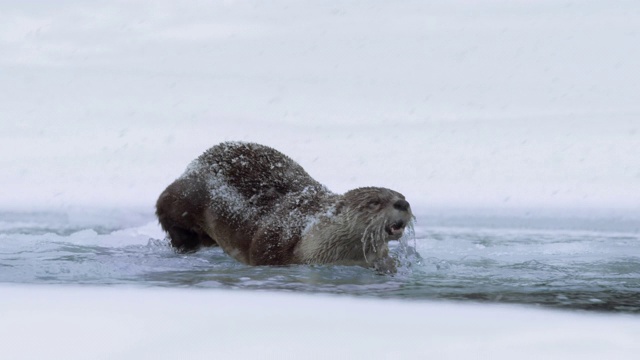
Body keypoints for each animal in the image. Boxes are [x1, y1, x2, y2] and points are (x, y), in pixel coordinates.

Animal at [158, 141, 412, 272]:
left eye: (402, 195)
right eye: (374, 202)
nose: (402, 203)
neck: (308, 237)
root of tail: (194, 164)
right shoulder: (273, 246)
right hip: (184, 196)